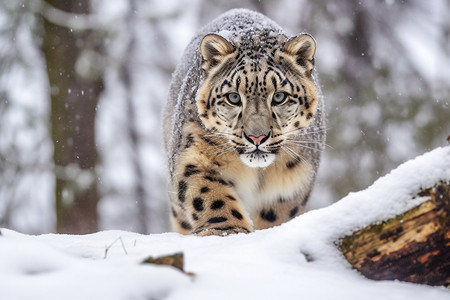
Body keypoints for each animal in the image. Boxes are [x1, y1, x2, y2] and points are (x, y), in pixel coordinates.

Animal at [163, 8, 326, 236]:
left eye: (279, 96)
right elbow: (209, 193)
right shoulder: (194, 152)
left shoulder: (294, 179)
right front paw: (226, 230)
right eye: (233, 97)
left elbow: (277, 214)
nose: (256, 137)